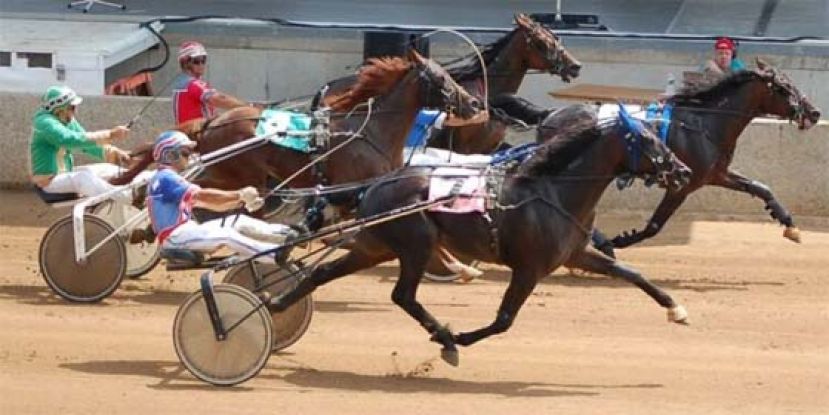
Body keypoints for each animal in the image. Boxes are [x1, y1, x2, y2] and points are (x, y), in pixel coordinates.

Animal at [266, 106, 693, 366]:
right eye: (651, 141)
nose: (684, 171)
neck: (552, 191)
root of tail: (375, 184)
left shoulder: (576, 254)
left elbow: (633, 274)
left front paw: (676, 309)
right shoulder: (529, 268)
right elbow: (504, 320)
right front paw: (460, 338)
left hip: (376, 246)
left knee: (321, 274)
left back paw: (275, 304)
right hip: (415, 244)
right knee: (403, 295)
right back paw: (446, 338)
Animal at [314, 13, 582, 155]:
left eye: (555, 38)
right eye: (543, 42)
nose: (575, 65)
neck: (487, 97)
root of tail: (328, 87)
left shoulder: (489, 147)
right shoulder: (466, 148)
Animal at [601, 59, 821, 255]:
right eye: (784, 88)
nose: (815, 112)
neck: (705, 126)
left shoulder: (716, 174)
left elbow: (760, 188)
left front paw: (789, 225)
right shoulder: (681, 186)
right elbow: (654, 226)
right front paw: (614, 242)